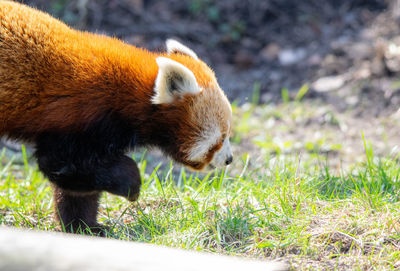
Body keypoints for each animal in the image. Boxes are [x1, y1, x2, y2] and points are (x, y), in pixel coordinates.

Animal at [0, 0, 233, 234]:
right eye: (220, 139)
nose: (230, 160)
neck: (128, 92)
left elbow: (74, 188)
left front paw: (84, 227)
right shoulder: (78, 119)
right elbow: (60, 164)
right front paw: (131, 185)